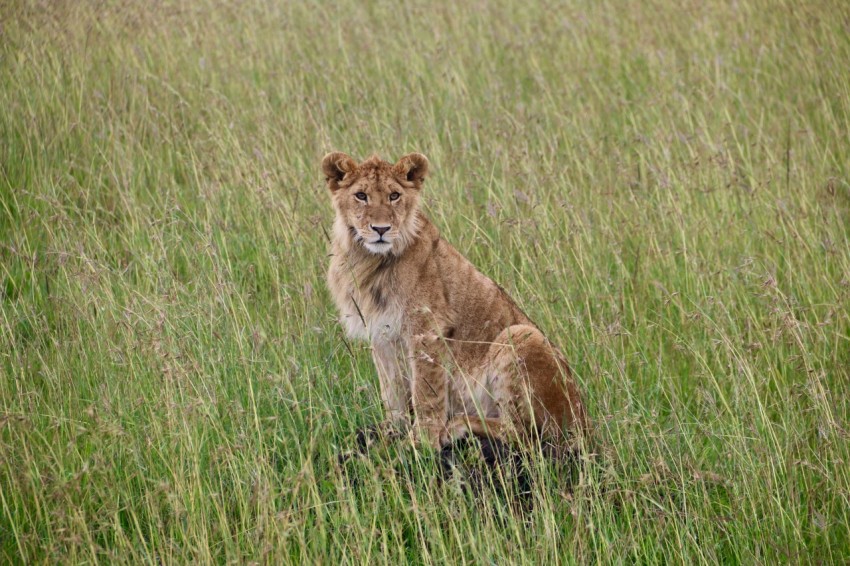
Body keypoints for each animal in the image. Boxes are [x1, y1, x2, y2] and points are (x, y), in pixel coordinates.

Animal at [323, 151, 588, 455]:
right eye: (361, 195)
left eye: (394, 196)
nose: (381, 229)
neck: (369, 260)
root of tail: (586, 425)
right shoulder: (381, 335)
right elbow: (392, 392)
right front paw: (391, 433)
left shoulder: (427, 329)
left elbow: (426, 393)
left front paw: (421, 443)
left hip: (521, 334)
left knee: (521, 433)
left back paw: (456, 427)